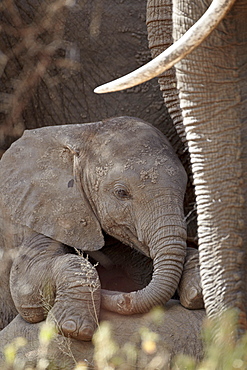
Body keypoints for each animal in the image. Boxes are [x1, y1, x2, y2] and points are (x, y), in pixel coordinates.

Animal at [0, 116, 203, 342]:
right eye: (121, 193)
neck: (82, 133)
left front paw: (196, 293)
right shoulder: (35, 209)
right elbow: (25, 287)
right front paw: (72, 329)